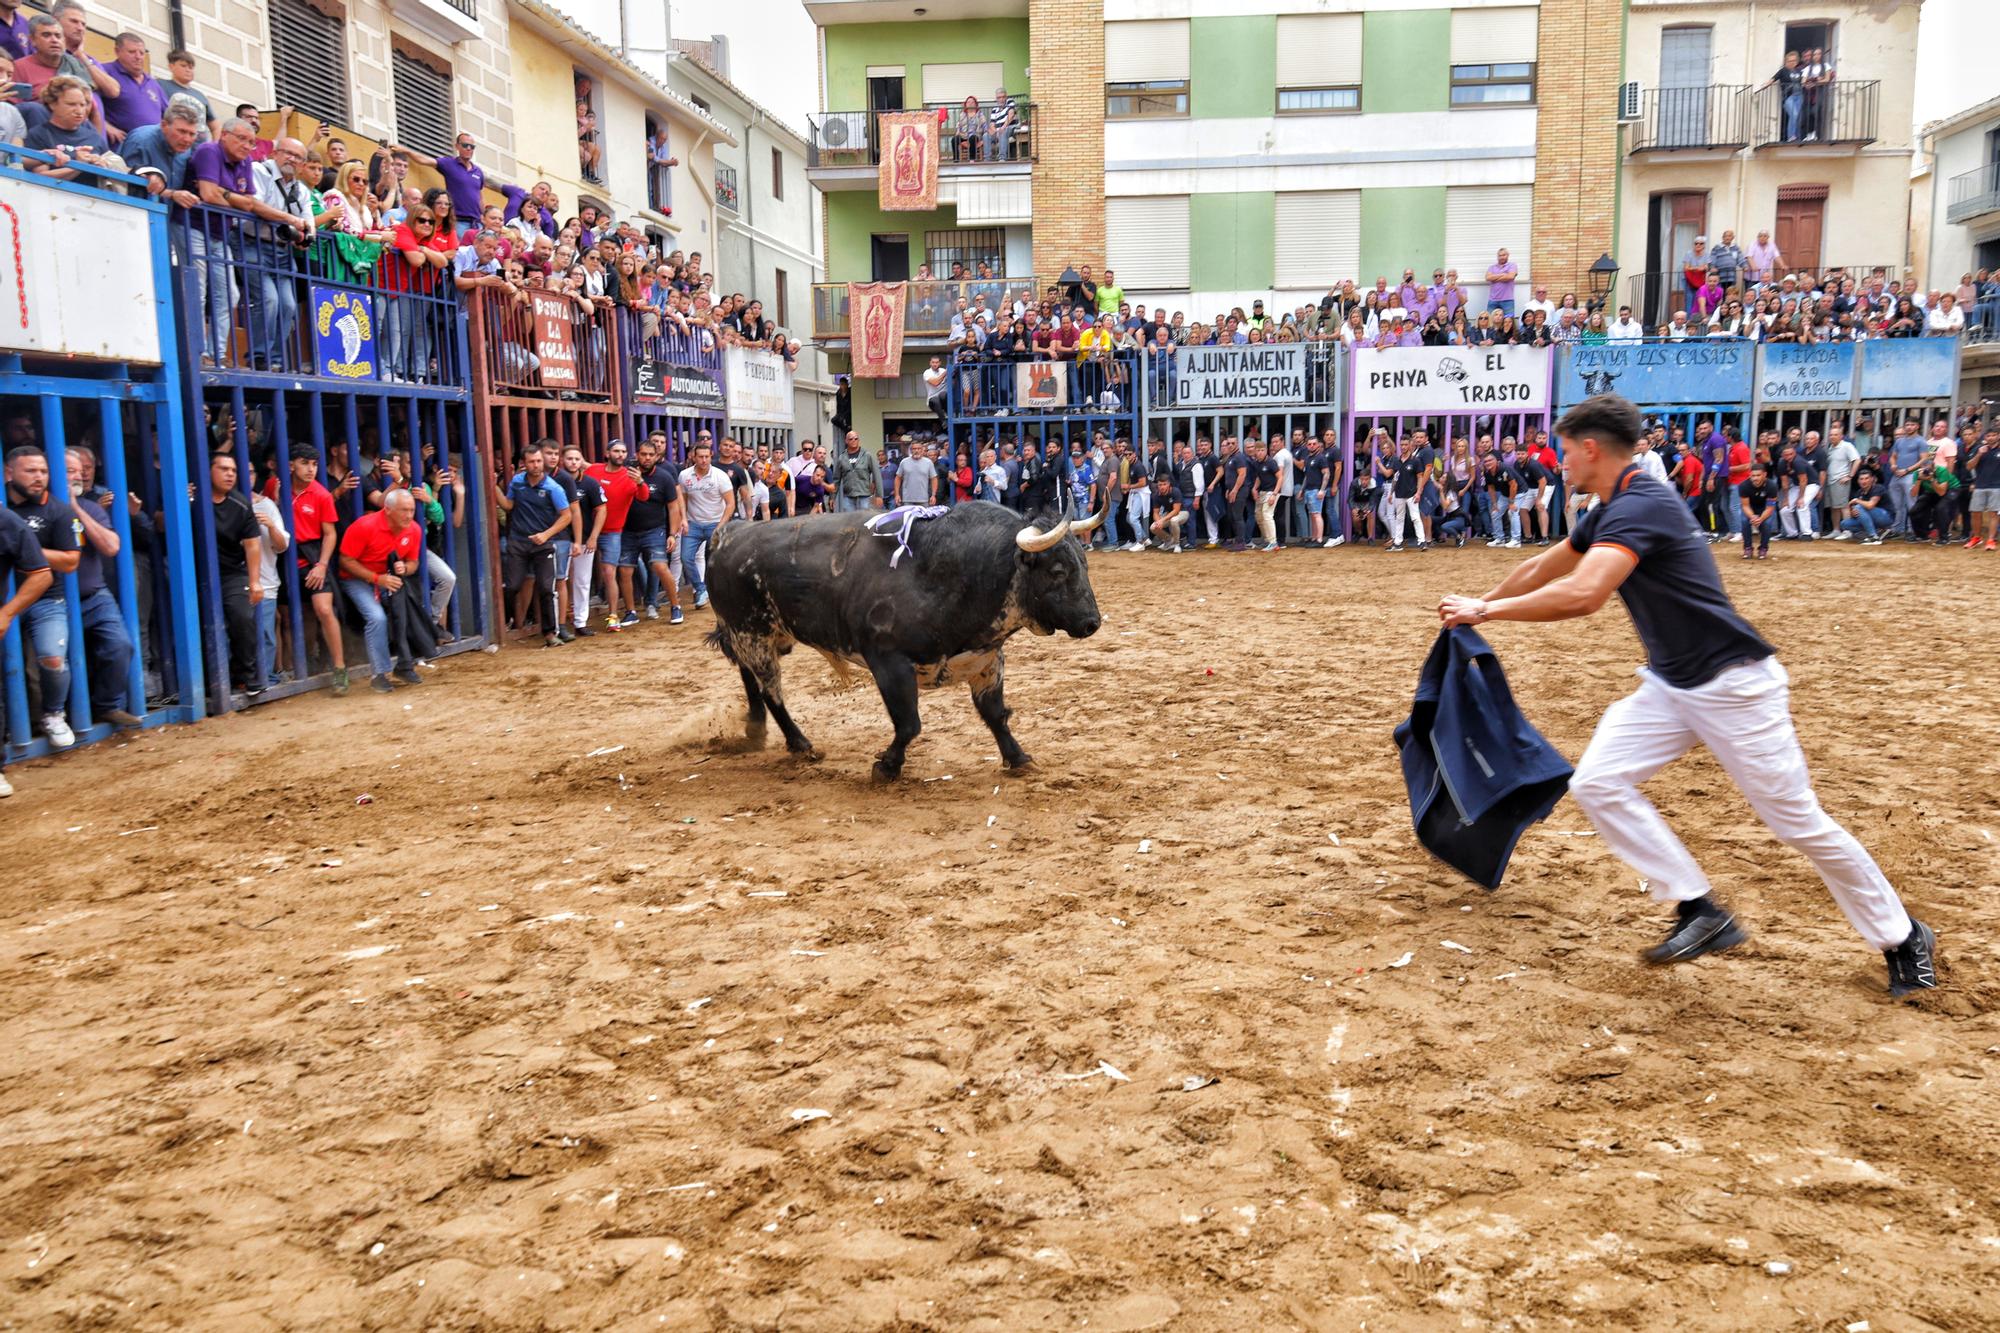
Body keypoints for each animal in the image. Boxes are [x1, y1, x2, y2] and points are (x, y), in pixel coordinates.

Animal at [708, 498, 1112, 772]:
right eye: (1057, 570)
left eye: (1084, 563)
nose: (1092, 622)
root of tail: (727, 532)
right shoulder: (889, 662)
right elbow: (908, 724)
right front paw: (887, 765)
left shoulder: (986, 659)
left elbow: (996, 714)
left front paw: (1018, 757)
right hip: (751, 631)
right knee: (771, 690)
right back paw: (799, 743)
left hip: (763, 635)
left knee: (749, 676)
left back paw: (755, 730)